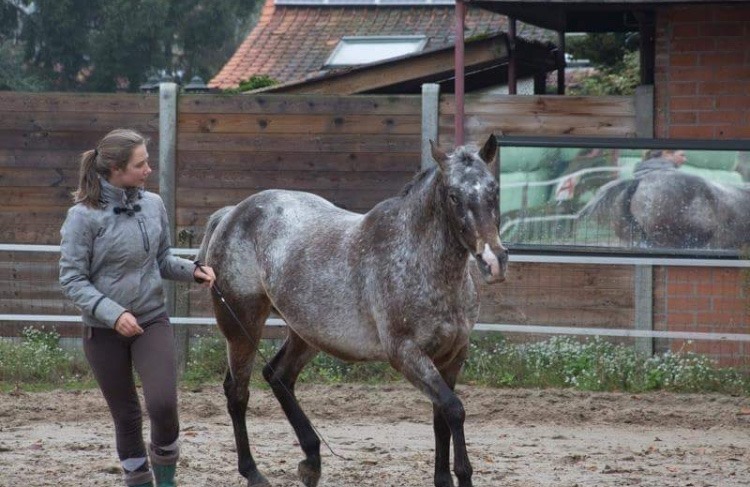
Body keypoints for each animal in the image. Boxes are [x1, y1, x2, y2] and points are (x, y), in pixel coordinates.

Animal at [197, 134, 508, 487]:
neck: (419, 261)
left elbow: (441, 417)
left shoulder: (452, 356)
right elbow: (454, 410)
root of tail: (231, 215)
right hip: (242, 327)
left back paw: (311, 461)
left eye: (494, 189)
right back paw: (254, 472)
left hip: (308, 334)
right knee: (238, 393)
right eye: (454, 196)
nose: (494, 260)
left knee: (278, 376)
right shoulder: (407, 354)